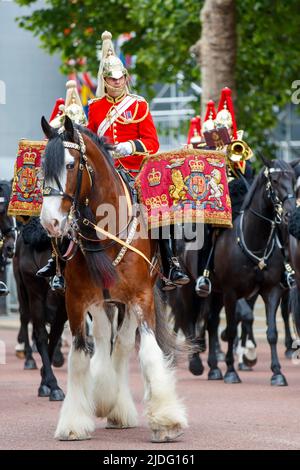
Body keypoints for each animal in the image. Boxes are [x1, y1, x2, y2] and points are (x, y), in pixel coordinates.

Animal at [39, 115, 186, 442]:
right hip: (102, 302)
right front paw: (74, 423)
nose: (50, 222)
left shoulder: (141, 297)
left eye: (71, 165)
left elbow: (148, 354)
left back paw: (119, 407)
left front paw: (166, 421)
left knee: (121, 346)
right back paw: (109, 400)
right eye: (42, 167)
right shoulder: (77, 301)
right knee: (106, 339)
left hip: (127, 302)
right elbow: (80, 356)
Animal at [197, 158, 296, 386]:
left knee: (212, 322)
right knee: (199, 318)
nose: (289, 214)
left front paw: (277, 373)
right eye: (274, 180)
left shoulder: (271, 290)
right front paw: (232, 370)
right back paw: (198, 361)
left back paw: (214, 367)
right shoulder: (231, 292)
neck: (254, 239)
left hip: (217, 294)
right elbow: (235, 326)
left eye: (293, 179)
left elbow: (271, 331)